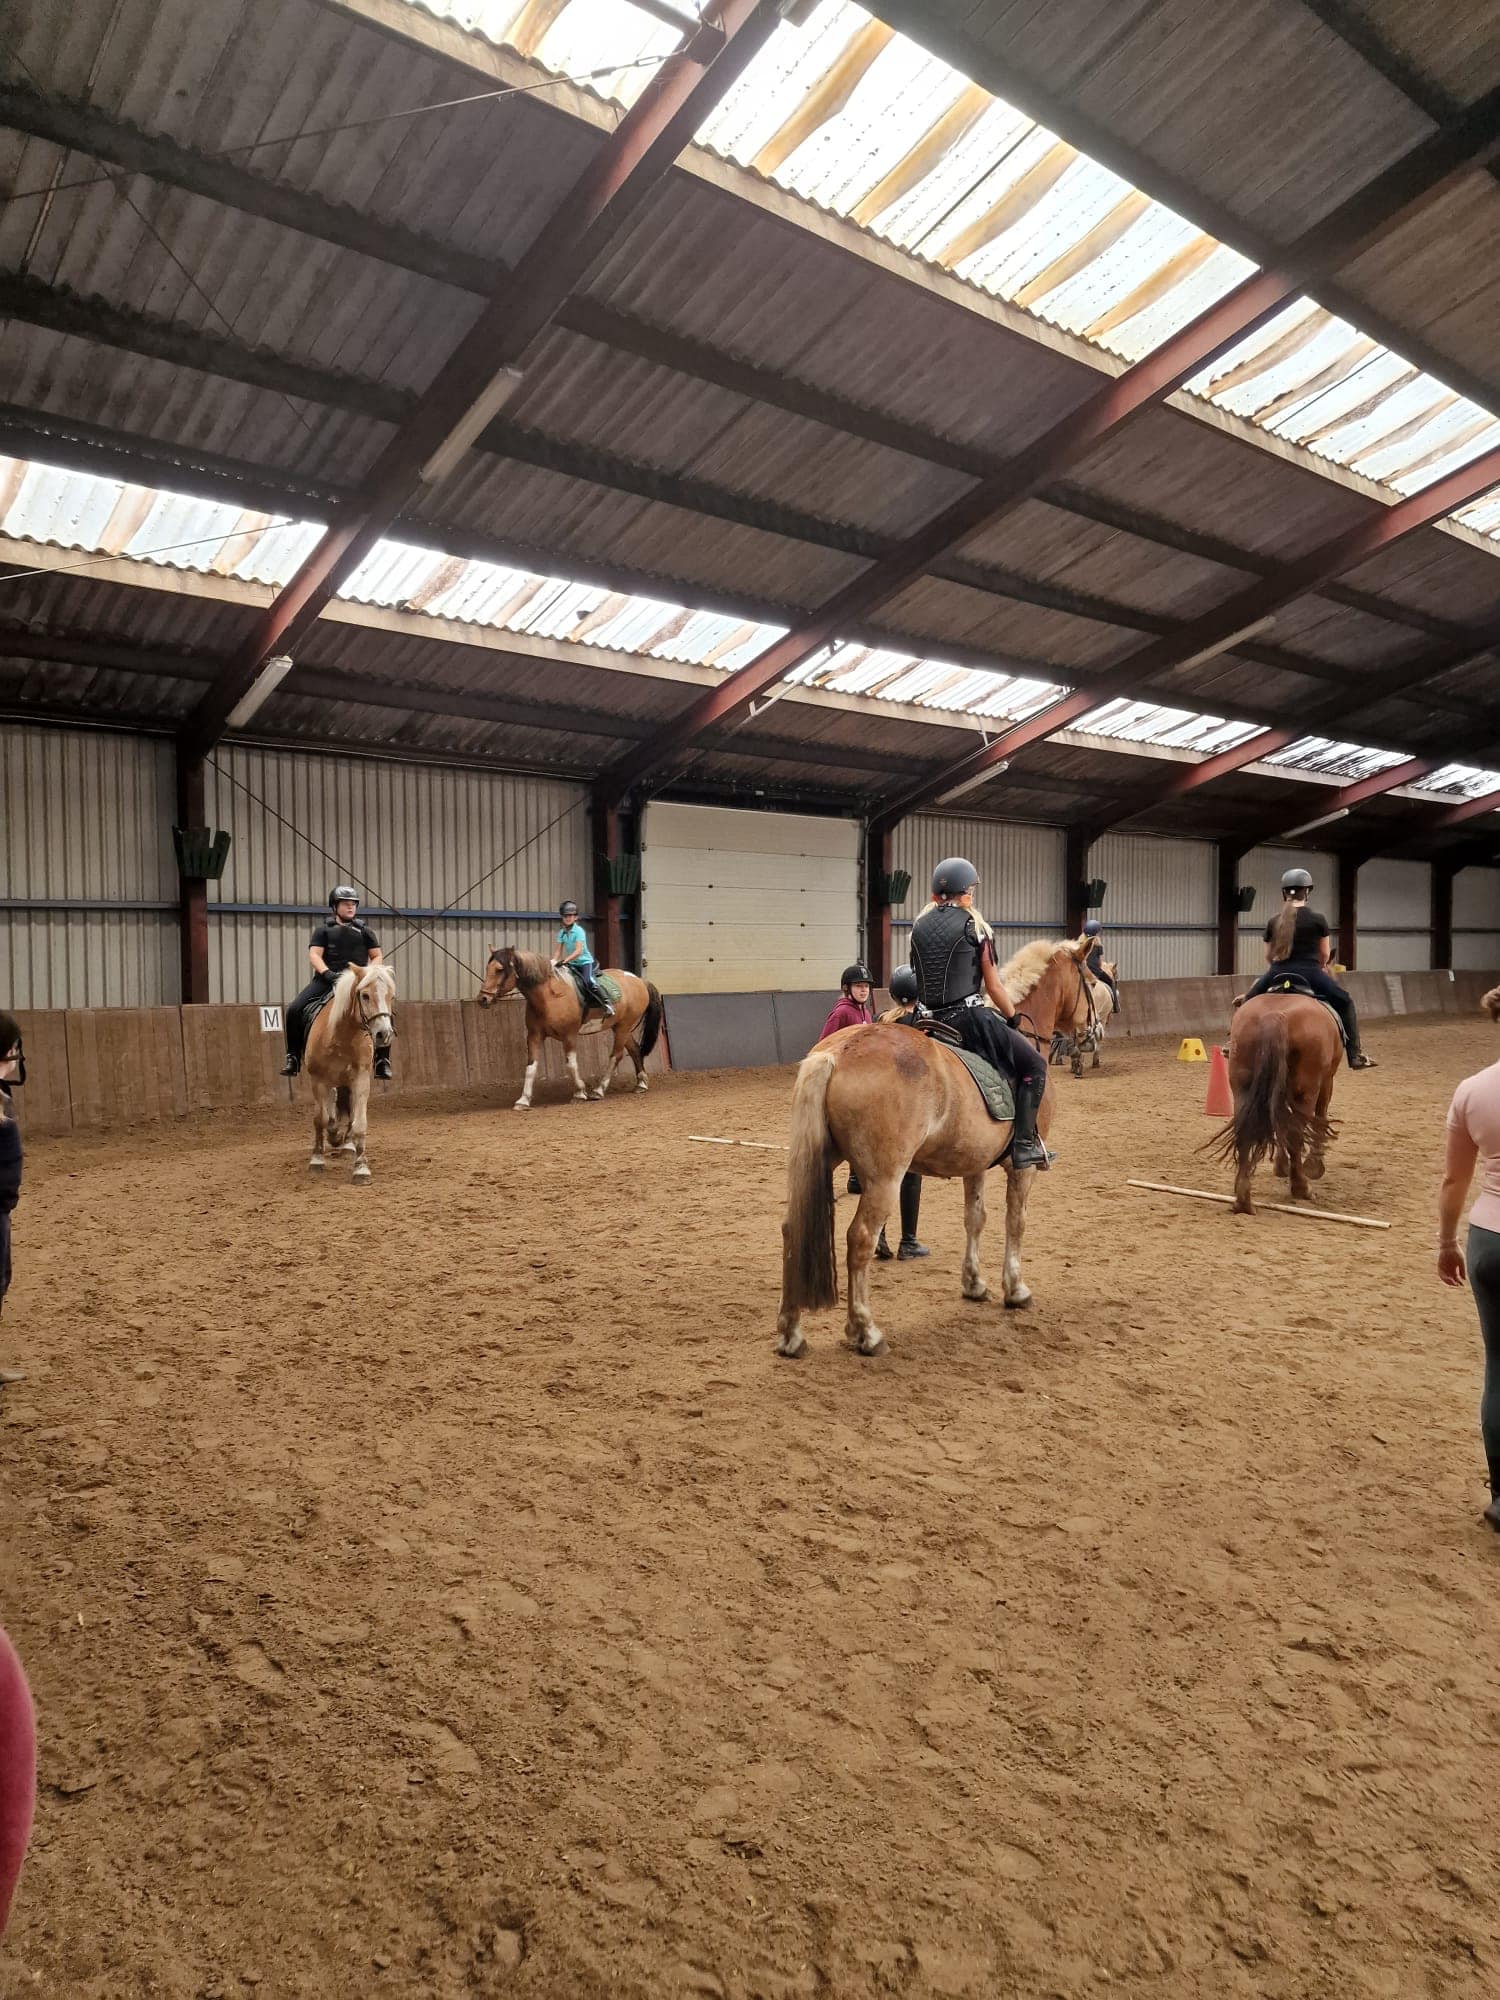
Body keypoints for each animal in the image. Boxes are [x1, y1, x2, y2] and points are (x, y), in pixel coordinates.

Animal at [304, 961, 396, 1182]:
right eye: (365, 995)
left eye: (391, 996)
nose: (384, 1034)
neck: (341, 1037)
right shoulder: (318, 1080)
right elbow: (320, 1119)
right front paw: (317, 1159)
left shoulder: (360, 1080)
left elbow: (359, 1123)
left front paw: (361, 1168)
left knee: (349, 1110)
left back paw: (346, 1145)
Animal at [476, 947, 663, 1110]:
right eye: (488, 968)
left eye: (499, 969)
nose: (483, 999)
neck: (549, 997)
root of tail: (640, 980)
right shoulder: (534, 1036)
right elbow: (531, 1067)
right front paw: (523, 1100)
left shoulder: (569, 1035)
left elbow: (571, 1065)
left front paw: (579, 1093)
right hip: (622, 1027)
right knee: (634, 1049)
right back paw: (641, 1084)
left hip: (623, 1027)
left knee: (615, 1056)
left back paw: (599, 1090)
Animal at [776, 937, 1092, 1359]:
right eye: (1092, 979)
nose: (1093, 1030)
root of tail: (837, 1052)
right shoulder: (1020, 1168)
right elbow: (1016, 1221)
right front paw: (1016, 1290)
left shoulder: (976, 1162)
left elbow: (975, 1219)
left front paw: (974, 1284)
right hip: (884, 1177)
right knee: (860, 1238)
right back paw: (866, 1332)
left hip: (822, 1162)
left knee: (793, 1229)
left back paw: (791, 1334)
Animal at [1206, 991, 1341, 1213]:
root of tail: (1276, 1016)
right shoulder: (1327, 1080)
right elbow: (1320, 1115)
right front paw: (1314, 1166)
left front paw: (1281, 1165)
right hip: (1305, 1089)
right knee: (1296, 1134)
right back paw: (1301, 1188)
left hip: (1244, 1087)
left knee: (1246, 1133)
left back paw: (1243, 1199)